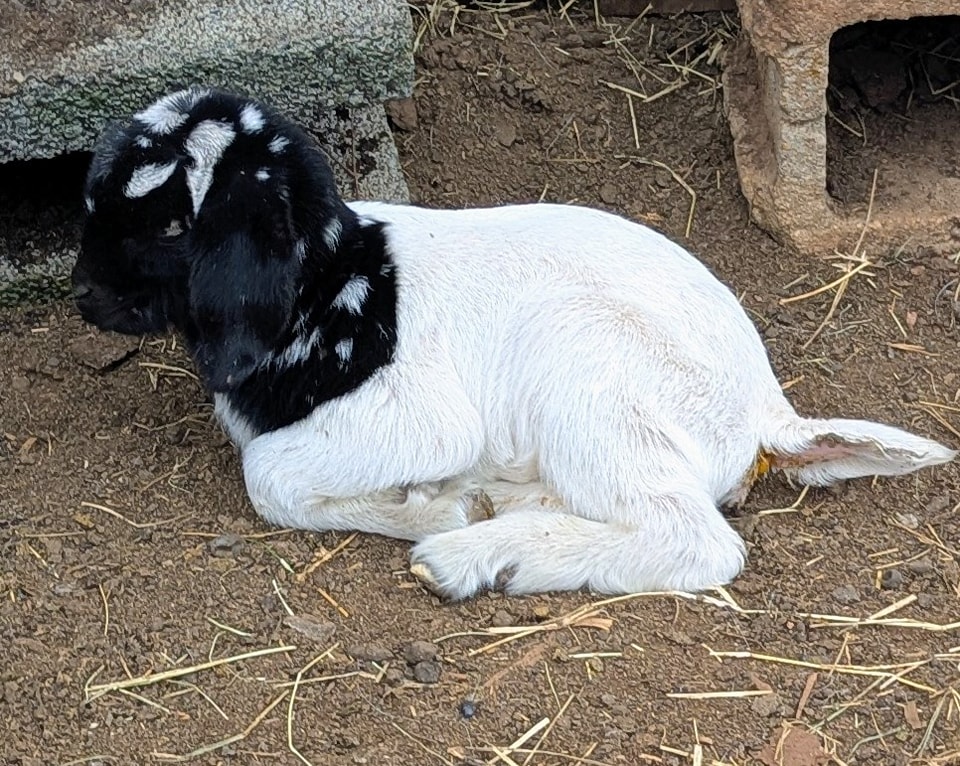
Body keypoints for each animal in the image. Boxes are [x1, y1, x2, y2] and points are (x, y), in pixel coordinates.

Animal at [72, 88, 955, 599]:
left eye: (174, 224)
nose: (84, 295)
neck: (334, 292)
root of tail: (766, 413)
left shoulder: (416, 419)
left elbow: (269, 478)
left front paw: (434, 510)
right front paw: (438, 500)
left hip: (593, 377)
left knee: (694, 539)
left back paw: (479, 556)